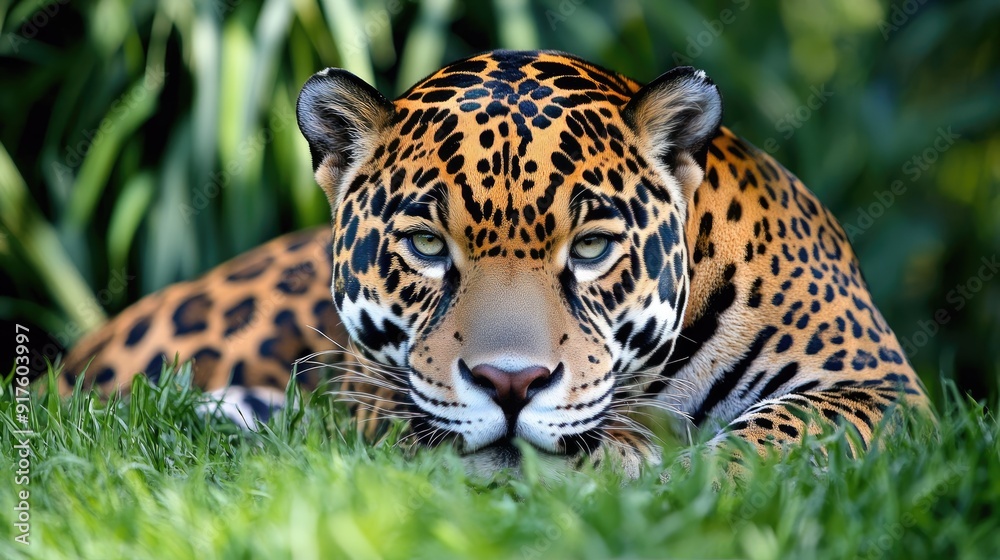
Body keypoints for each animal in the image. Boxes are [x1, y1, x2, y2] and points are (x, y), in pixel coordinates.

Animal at [64, 50, 928, 477]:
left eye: (592, 247)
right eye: (425, 246)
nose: (511, 385)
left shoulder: (882, 387)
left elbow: (782, 435)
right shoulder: (373, 400)